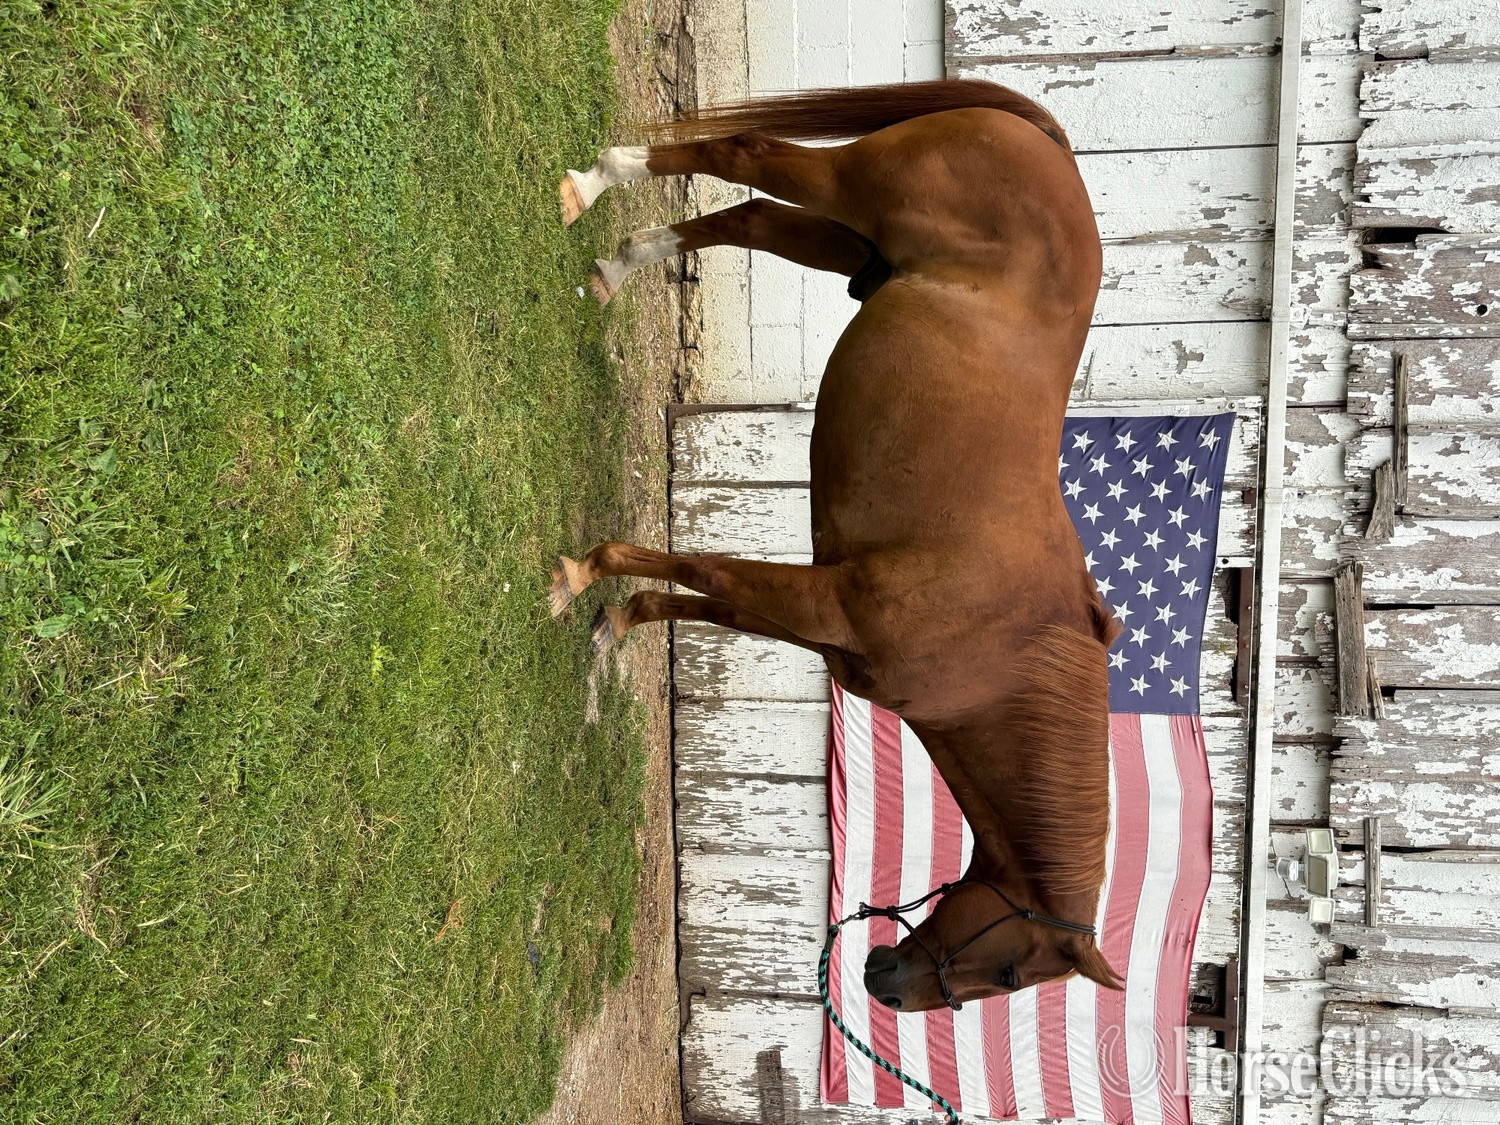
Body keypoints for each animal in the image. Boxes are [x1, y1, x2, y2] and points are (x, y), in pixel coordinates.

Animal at [548, 79, 1124, 1010]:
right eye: (1010, 968)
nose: (885, 980)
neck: (1005, 651)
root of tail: (1049, 145)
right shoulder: (827, 600)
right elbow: (701, 567)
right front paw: (581, 574)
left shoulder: (817, 623)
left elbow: (701, 599)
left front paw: (616, 620)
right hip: (846, 187)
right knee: (741, 156)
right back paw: (594, 183)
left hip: (844, 240)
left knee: (743, 217)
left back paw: (617, 264)